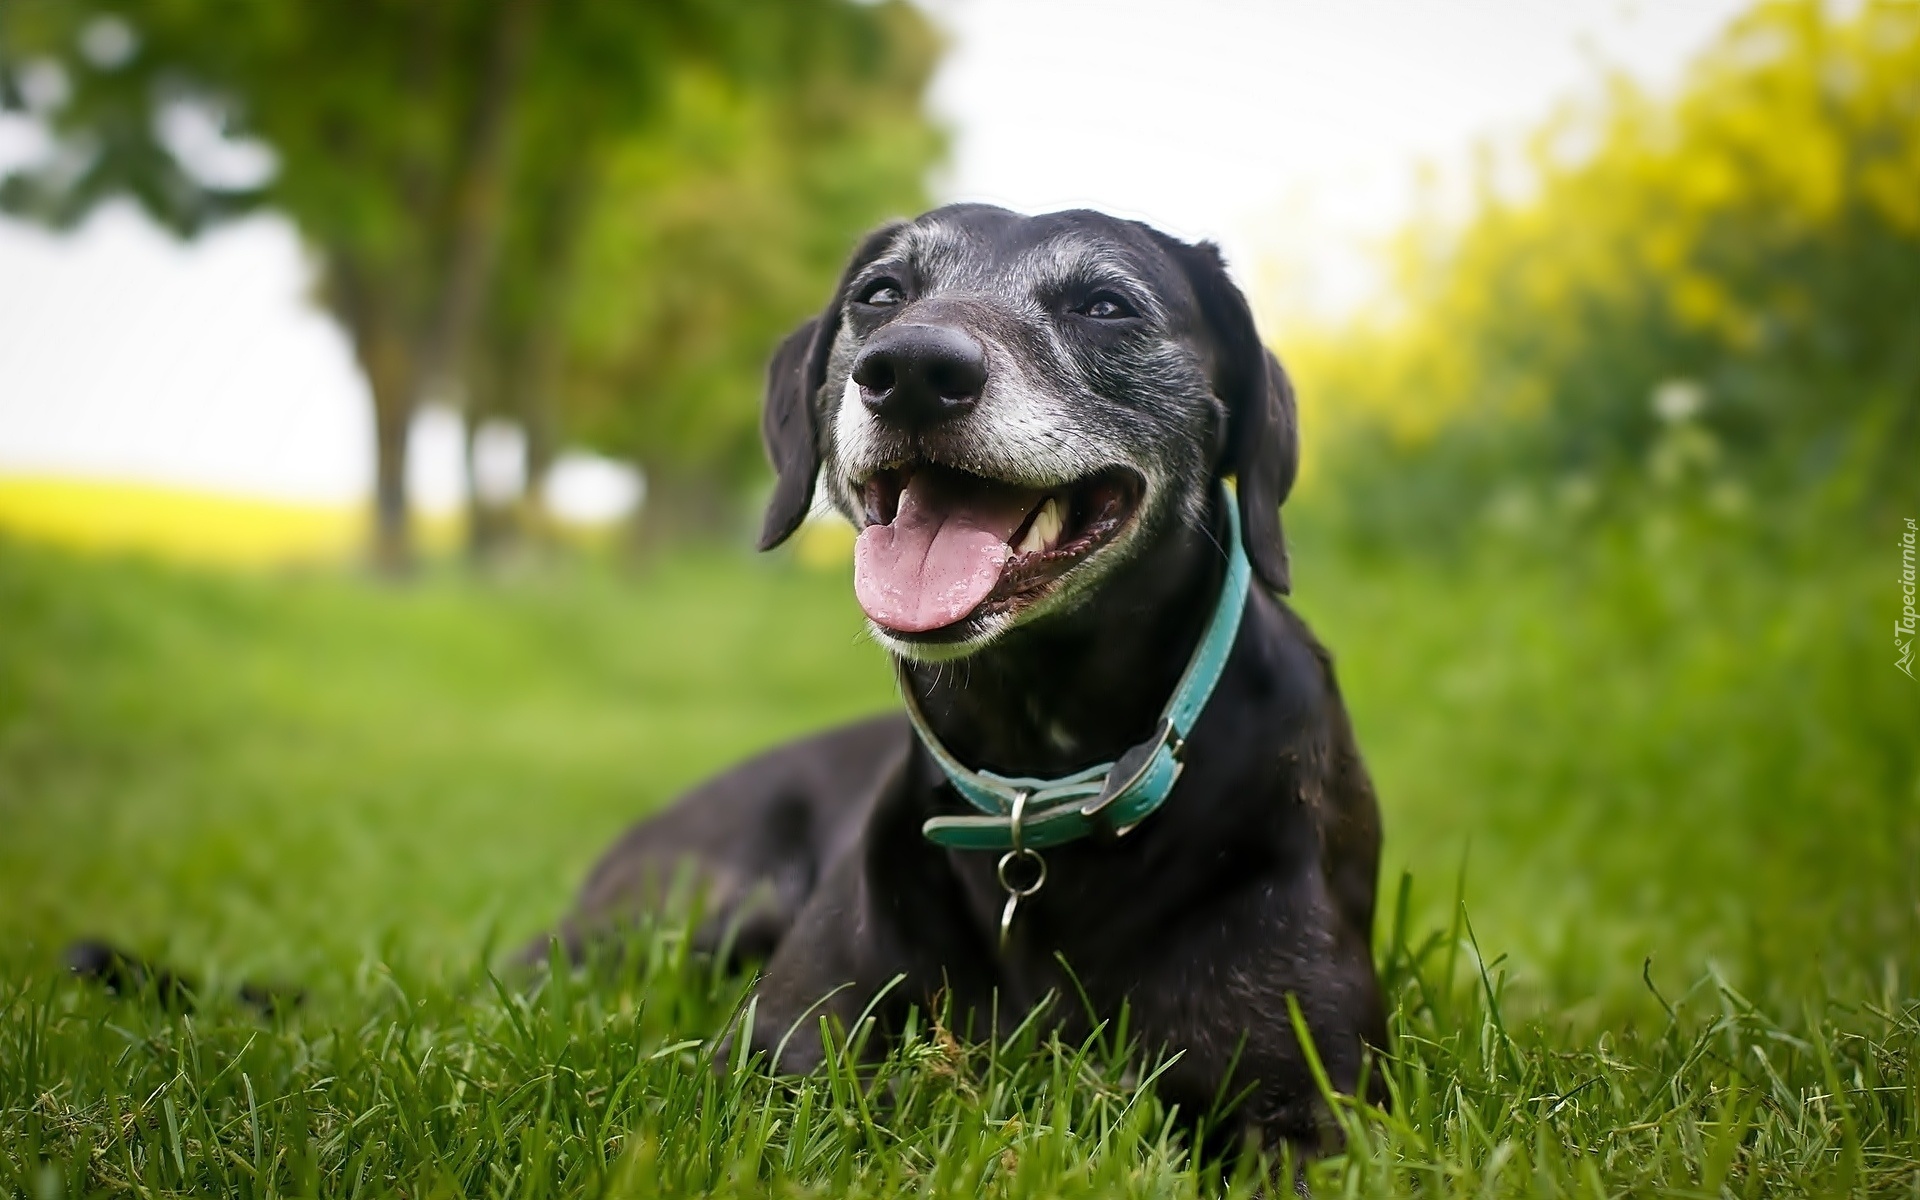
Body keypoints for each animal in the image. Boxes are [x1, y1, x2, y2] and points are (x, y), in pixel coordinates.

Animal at [533, 208, 1390, 1152]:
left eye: (1106, 304)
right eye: (881, 294)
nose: (911, 371)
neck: (1042, 768)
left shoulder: (1313, 1102)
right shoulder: (766, 1060)